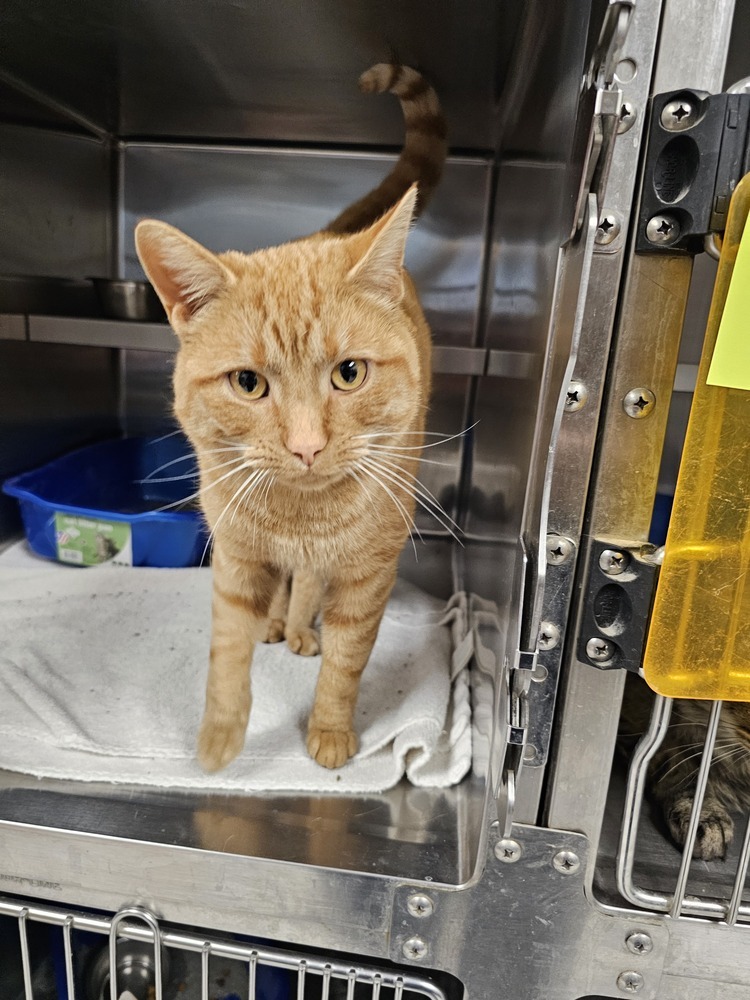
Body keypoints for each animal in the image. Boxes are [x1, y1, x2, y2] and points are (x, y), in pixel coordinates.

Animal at [135, 64, 446, 772]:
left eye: (349, 373)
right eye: (248, 383)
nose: (306, 446)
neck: (300, 518)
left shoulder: (367, 576)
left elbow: (346, 665)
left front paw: (328, 733)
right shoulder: (234, 559)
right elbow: (227, 655)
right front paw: (219, 740)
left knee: (307, 586)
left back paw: (299, 626)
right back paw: (278, 622)